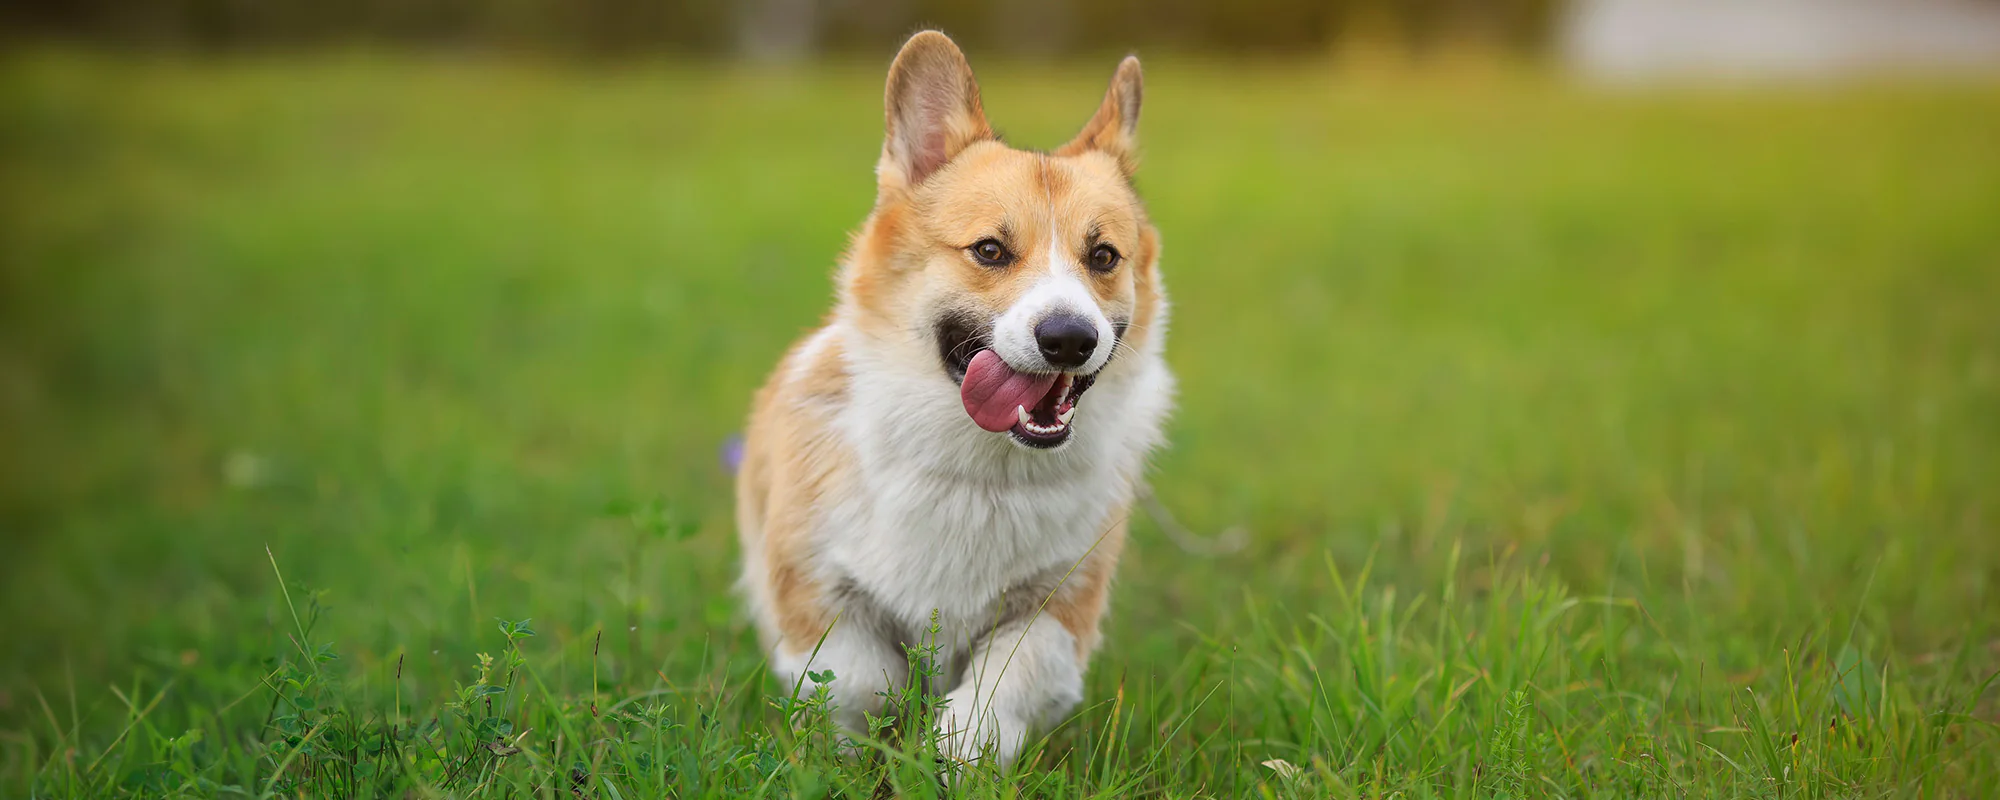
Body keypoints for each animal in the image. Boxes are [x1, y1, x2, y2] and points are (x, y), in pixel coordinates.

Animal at [736, 32, 1168, 768]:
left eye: (1104, 257)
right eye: (990, 250)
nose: (1069, 339)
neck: (977, 469)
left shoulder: (1059, 607)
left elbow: (1005, 684)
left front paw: (954, 750)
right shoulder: (815, 587)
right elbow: (858, 679)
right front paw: (864, 752)